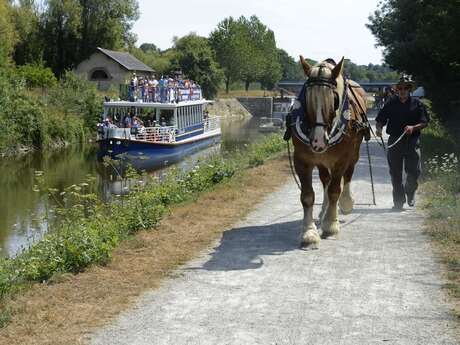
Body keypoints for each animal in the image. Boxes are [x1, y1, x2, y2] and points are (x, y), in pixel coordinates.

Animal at [292, 56, 368, 247]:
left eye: (334, 100)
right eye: (307, 99)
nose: (318, 141)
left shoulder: (341, 159)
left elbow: (335, 190)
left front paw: (331, 226)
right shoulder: (302, 160)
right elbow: (307, 196)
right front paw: (309, 233)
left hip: (353, 153)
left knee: (347, 175)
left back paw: (346, 203)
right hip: (321, 159)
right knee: (325, 178)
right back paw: (324, 210)